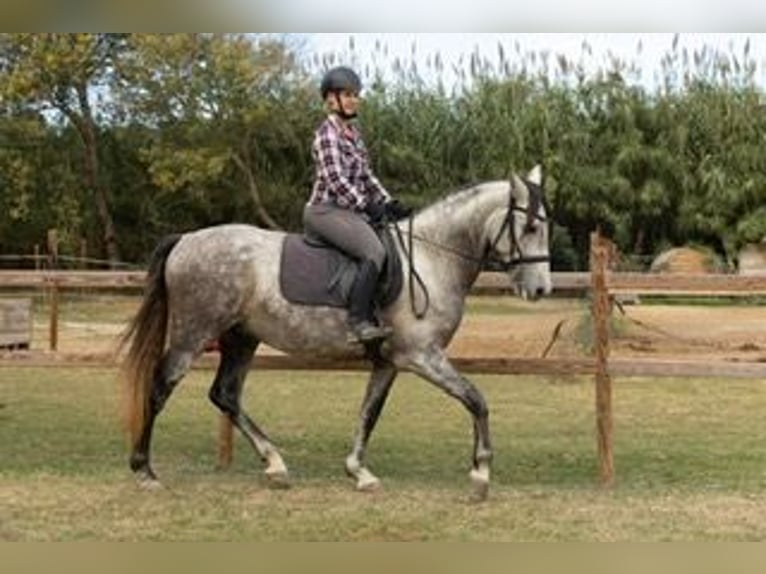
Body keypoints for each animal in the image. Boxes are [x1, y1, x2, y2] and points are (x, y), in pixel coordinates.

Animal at [120, 166, 552, 501]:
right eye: (530, 226)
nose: (541, 290)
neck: (433, 257)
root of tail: (186, 239)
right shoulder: (421, 355)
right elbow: (476, 400)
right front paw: (481, 476)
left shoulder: (390, 362)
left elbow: (369, 413)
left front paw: (359, 472)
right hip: (193, 334)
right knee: (160, 387)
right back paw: (145, 471)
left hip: (241, 338)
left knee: (225, 394)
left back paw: (275, 465)